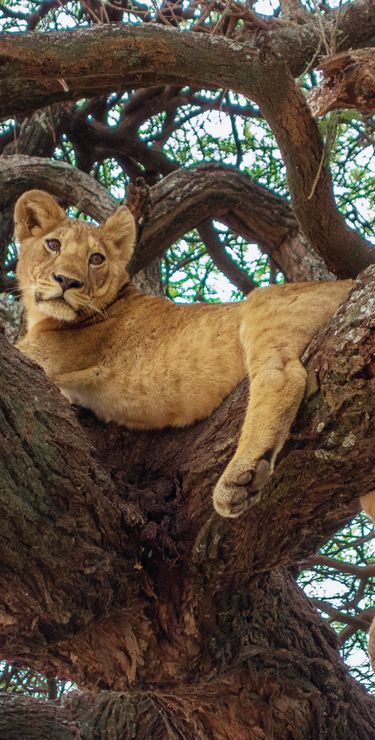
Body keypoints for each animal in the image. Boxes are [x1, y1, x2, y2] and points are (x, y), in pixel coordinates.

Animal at [13, 191, 374, 524]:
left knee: (281, 376)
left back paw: (240, 477)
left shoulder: (45, 357)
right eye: (53, 244)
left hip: (264, 304)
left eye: (96, 258)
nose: (67, 281)